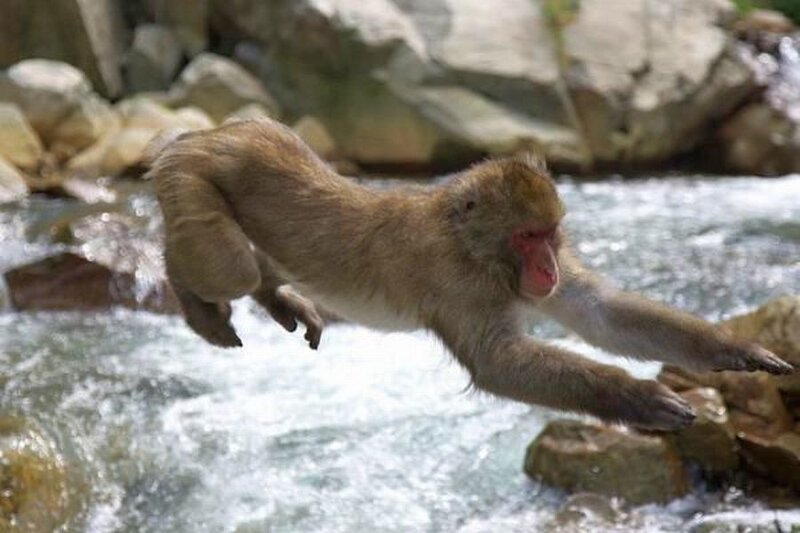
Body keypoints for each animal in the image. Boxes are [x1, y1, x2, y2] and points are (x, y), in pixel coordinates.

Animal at [146, 117, 793, 432]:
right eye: (526, 238)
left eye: (549, 233)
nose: (546, 267)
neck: (472, 248)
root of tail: (209, 133)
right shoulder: (456, 285)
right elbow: (497, 363)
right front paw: (639, 397)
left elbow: (599, 311)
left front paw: (733, 349)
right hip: (190, 176)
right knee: (225, 264)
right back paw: (194, 298)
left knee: (249, 260)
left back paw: (272, 295)